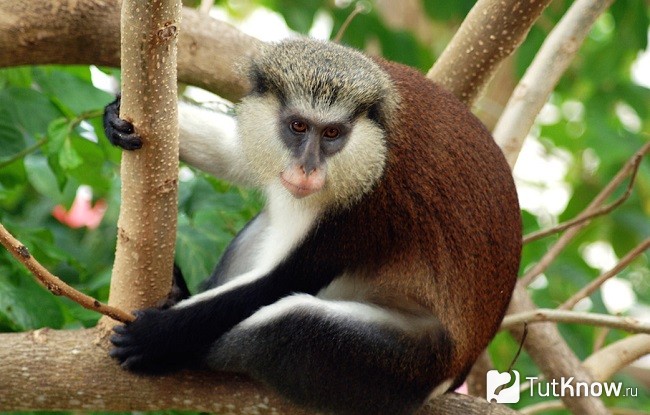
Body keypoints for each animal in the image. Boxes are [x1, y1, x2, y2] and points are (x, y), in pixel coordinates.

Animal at [104, 37, 522, 415]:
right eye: (298, 126)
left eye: (332, 133)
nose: (306, 169)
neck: (379, 137)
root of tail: (457, 371)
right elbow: (235, 152)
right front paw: (115, 118)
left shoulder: (367, 207)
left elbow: (280, 281)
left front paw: (158, 336)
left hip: (404, 365)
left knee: (289, 325)